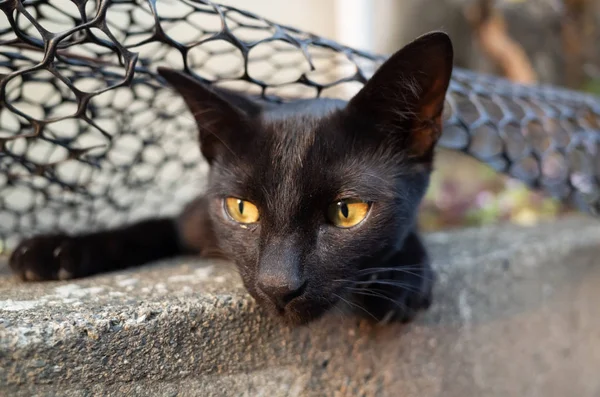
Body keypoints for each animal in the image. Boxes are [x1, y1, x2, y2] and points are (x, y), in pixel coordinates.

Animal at [9, 32, 452, 324]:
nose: (279, 287)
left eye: (347, 211)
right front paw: (56, 249)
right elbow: (150, 226)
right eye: (241, 209)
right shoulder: (191, 219)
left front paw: (401, 279)